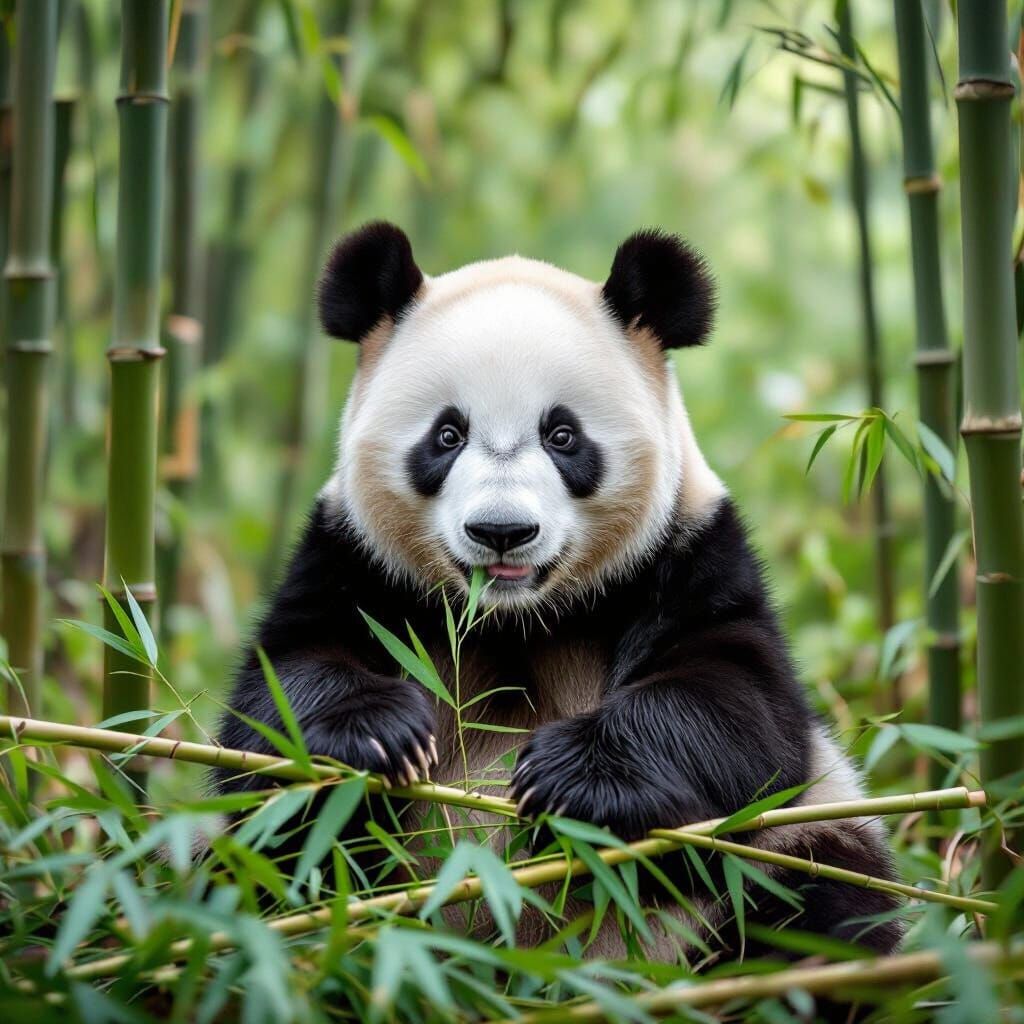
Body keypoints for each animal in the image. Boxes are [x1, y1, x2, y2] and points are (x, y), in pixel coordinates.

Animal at [216, 221, 902, 958]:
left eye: (563, 435)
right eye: (447, 434)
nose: (502, 531)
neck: (515, 618)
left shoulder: (690, 556)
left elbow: (740, 711)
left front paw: (571, 772)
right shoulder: (355, 562)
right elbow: (274, 709)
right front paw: (377, 734)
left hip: (786, 858)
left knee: (818, 902)